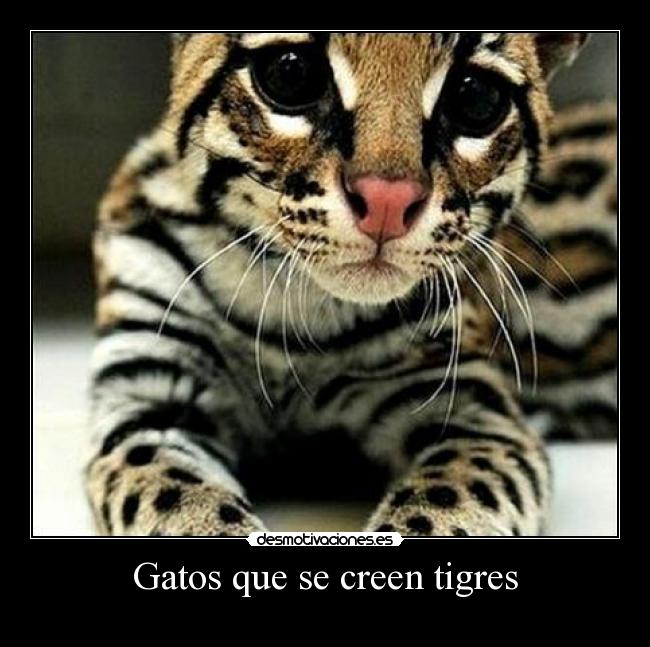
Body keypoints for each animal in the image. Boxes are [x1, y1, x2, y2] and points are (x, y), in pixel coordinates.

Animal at [85, 32, 617, 537]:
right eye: (290, 73)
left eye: (476, 96)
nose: (387, 201)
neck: (293, 306)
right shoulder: (147, 399)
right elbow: (179, 498)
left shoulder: (474, 412)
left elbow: (444, 504)